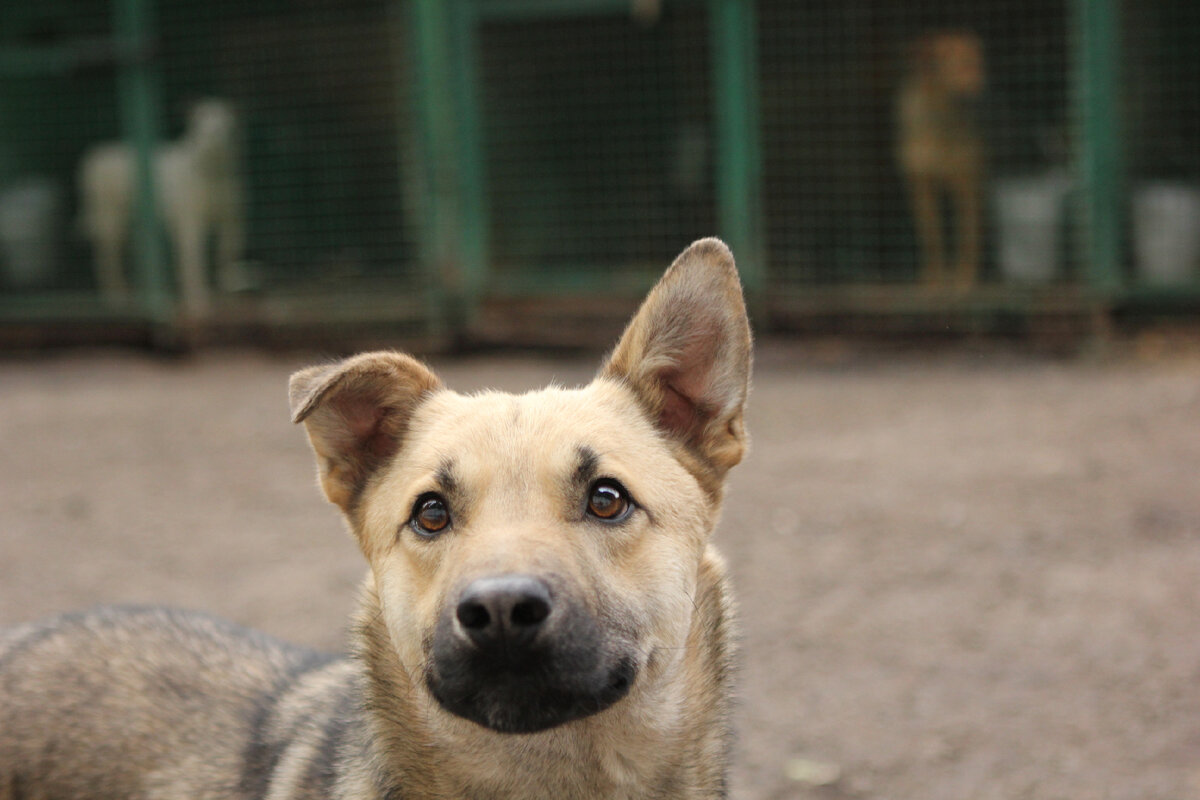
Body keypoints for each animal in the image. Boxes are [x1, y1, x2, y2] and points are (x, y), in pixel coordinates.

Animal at [78, 97, 244, 316]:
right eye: (199, 125)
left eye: (226, 124)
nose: (214, 137)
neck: (214, 177)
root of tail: (94, 156)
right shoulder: (190, 221)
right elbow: (194, 258)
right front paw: (198, 303)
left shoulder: (231, 222)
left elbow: (226, 256)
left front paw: (229, 298)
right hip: (110, 218)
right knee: (106, 256)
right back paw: (116, 297)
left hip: (132, 221)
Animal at [897, 34, 988, 292]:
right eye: (961, 68)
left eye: (980, 65)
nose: (982, 98)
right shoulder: (920, 186)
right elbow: (932, 237)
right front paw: (933, 279)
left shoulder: (966, 183)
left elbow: (967, 235)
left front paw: (965, 278)